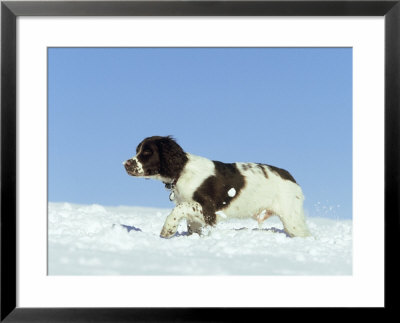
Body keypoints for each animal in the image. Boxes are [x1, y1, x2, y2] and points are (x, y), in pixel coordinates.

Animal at [123, 135, 310, 239]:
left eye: (147, 152)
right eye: (138, 150)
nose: (125, 164)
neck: (182, 171)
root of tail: (292, 178)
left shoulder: (209, 211)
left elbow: (178, 209)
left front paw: (167, 230)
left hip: (292, 219)